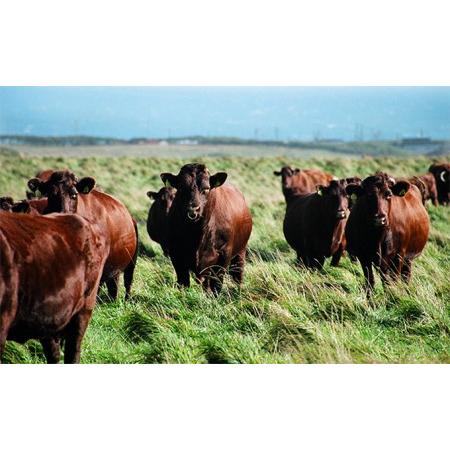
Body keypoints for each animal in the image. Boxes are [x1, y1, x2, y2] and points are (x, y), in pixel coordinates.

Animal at [161, 163, 253, 294]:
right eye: (181, 188)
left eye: (206, 189)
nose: (193, 209)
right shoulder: (176, 253)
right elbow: (184, 282)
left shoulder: (224, 254)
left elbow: (217, 283)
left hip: (240, 251)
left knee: (237, 274)